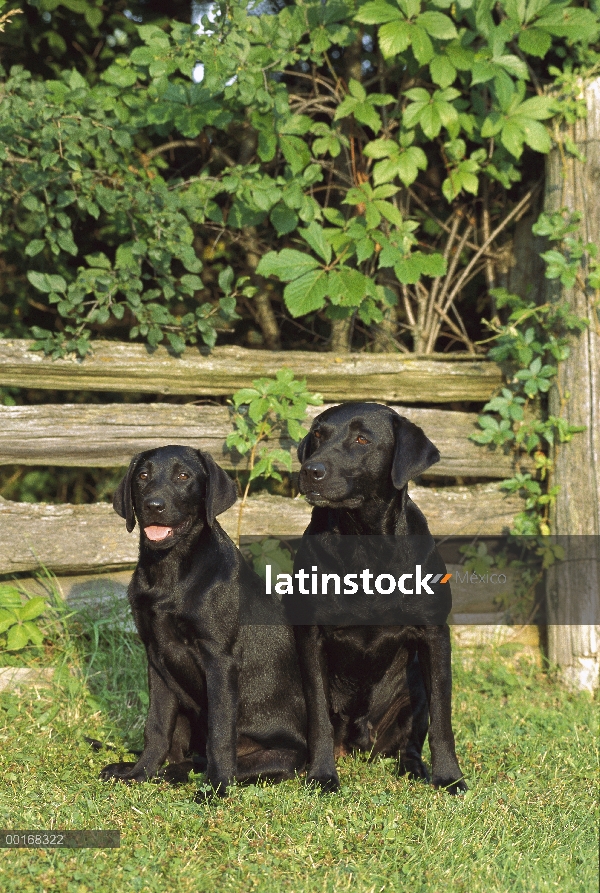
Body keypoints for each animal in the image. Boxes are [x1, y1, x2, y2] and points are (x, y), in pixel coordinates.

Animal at [100, 446, 308, 796]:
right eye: (142, 476)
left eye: (184, 476)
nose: (153, 505)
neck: (169, 572)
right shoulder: (156, 658)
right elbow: (156, 727)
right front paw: (140, 774)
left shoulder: (220, 659)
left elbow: (220, 733)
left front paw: (217, 788)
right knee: (183, 752)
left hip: (280, 755)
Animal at [286, 404, 468, 796]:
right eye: (318, 435)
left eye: (362, 439)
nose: (311, 471)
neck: (363, 542)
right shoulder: (311, 634)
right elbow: (319, 718)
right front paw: (321, 775)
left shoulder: (434, 635)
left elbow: (443, 719)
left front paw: (449, 777)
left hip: (411, 697)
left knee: (408, 744)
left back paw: (414, 768)